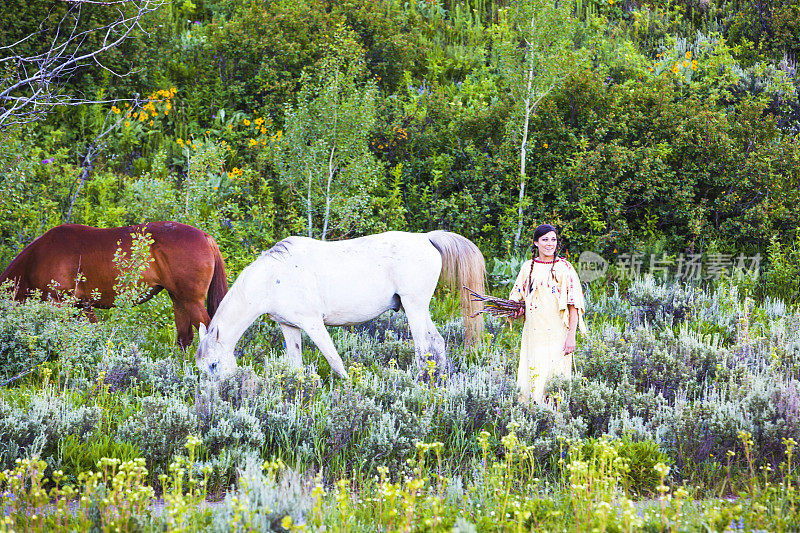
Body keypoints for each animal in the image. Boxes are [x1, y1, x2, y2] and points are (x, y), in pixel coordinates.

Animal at [0, 219, 228, 344]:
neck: (36, 258)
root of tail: (206, 236)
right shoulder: (83, 306)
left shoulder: (60, 304)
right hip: (179, 299)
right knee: (184, 338)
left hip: (192, 301)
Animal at [198, 231, 488, 376]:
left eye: (214, 365)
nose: (212, 402)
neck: (272, 279)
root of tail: (426, 237)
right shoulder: (289, 327)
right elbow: (295, 366)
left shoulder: (313, 324)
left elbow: (335, 361)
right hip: (416, 308)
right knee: (437, 343)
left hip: (415, 308)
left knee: (423, 348)